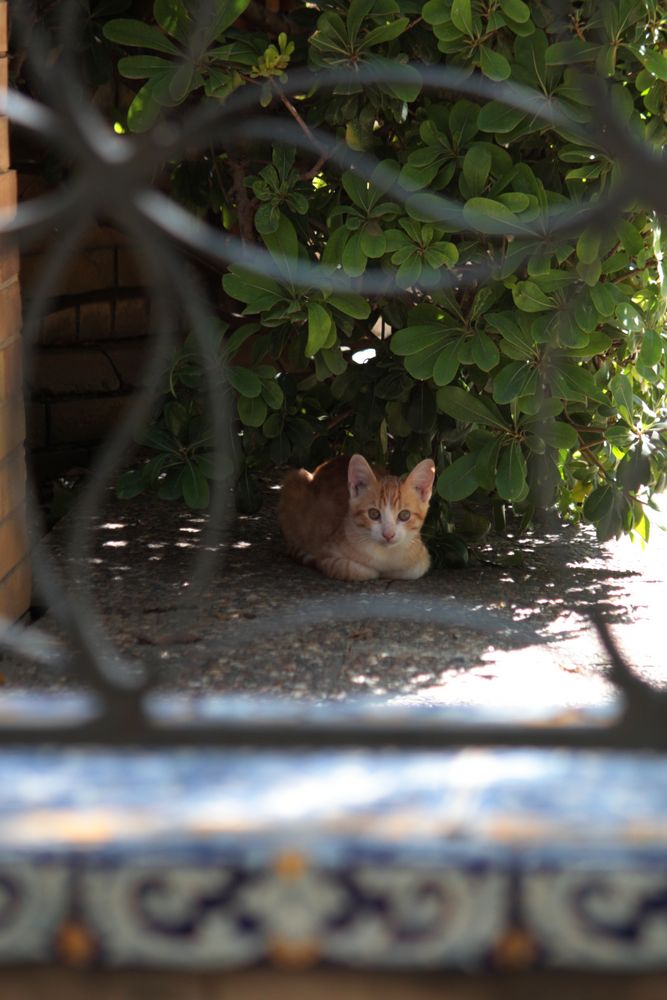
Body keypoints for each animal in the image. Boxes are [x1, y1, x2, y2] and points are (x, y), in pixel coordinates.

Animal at [278, 452, 438, 580]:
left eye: (404, 515)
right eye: (373, 514)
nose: (388, 534)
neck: (386, 556)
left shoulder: (422, 558)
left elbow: (412, 570)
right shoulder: (326, 555)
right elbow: (362, 571)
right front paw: (376, 572)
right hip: (293, 480)